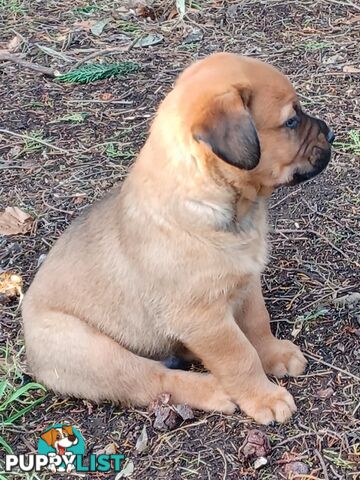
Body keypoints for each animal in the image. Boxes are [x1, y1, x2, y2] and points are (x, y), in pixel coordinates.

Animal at [21, 54, 334, 426]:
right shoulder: (204, 318)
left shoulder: (246, 283)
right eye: (291, 121)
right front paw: (264, 397)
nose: (331, 132)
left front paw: (274, 355)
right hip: (95, 353)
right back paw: (213, 390)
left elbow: (257, 324)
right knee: (153, 380)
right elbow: (240, 356)